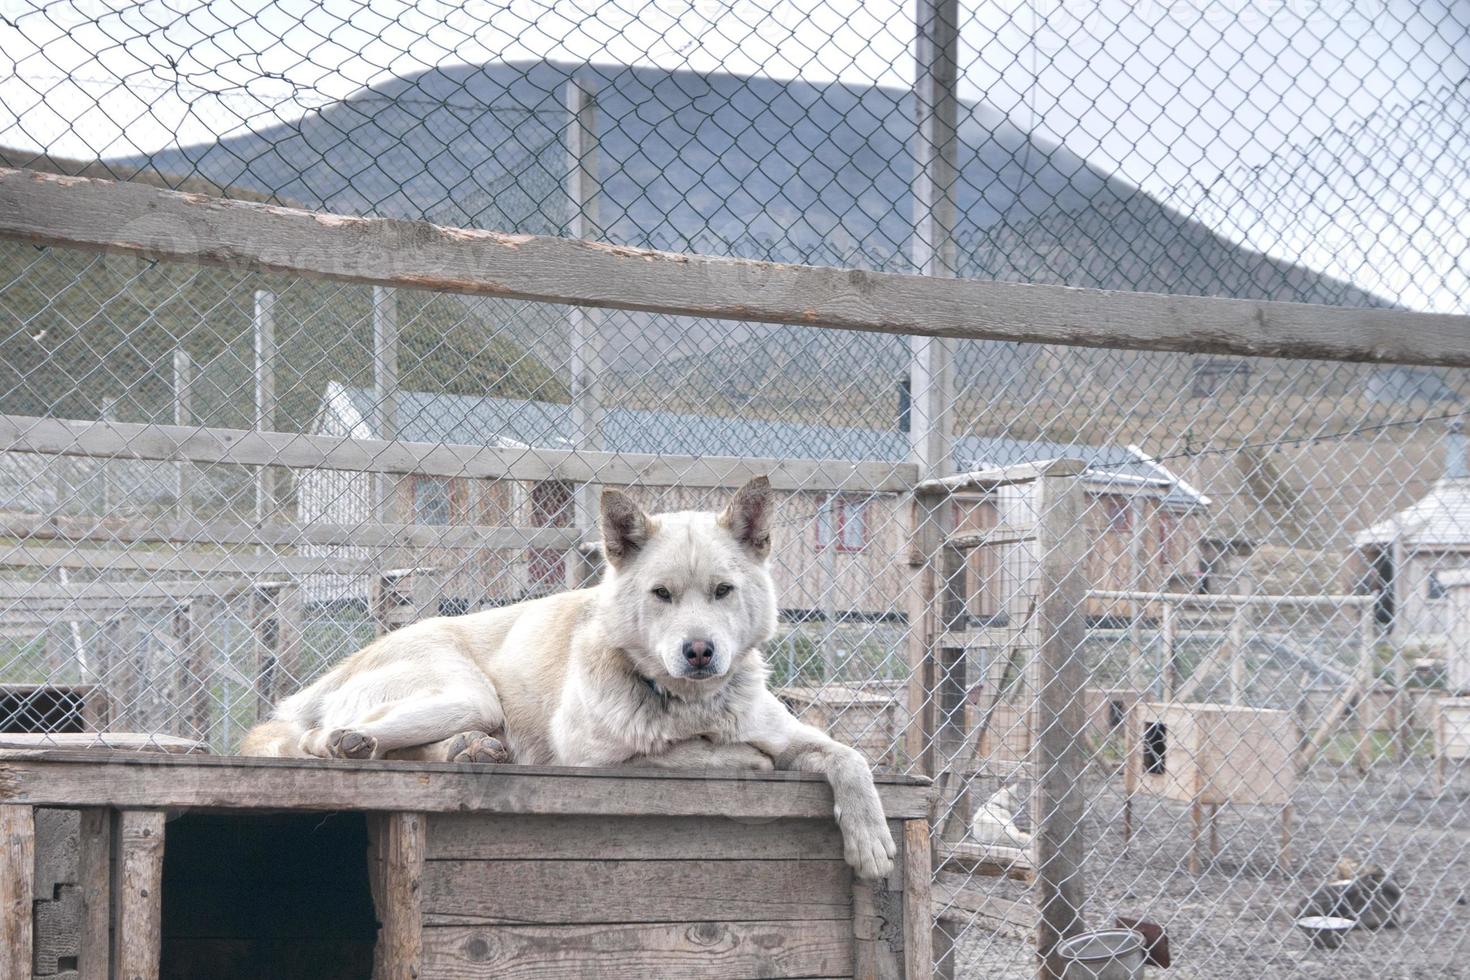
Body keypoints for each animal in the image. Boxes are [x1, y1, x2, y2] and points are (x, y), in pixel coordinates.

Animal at [244, 476, 893, 881]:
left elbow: (849, 757)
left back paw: (467, 750)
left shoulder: (793, 735)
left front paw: (871, 840)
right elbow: (700, 753)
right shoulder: (590, 757)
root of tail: (341, 668)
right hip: (465, 693)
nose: (699, 652)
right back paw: (361, 742)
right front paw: (739, 757)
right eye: (661, 594)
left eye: (722, 591)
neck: (690, 702)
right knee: (323, 740)